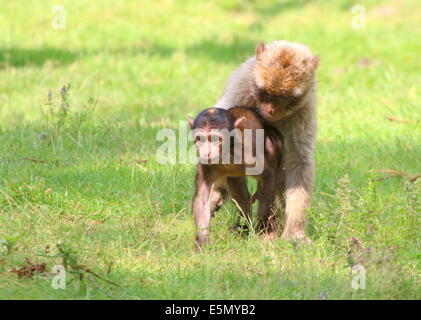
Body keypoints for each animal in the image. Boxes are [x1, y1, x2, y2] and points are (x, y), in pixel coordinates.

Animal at [189, 107, 282, 250]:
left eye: (215, 138)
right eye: (200, 139)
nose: (207, 152)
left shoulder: (248, 154)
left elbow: (267, 176)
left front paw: (262, 228)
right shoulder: (205, 165)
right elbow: (202, 199)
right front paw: (202, 242)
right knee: (238, 191)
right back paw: (242, 228)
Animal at [213, 41, 318, 244]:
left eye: (284, 97)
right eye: (267, 93)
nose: (271, 110)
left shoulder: (304, 109)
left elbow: (299, 160)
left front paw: (295, 232)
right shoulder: (241, 87)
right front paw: (218, 193)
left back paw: (268, 230)